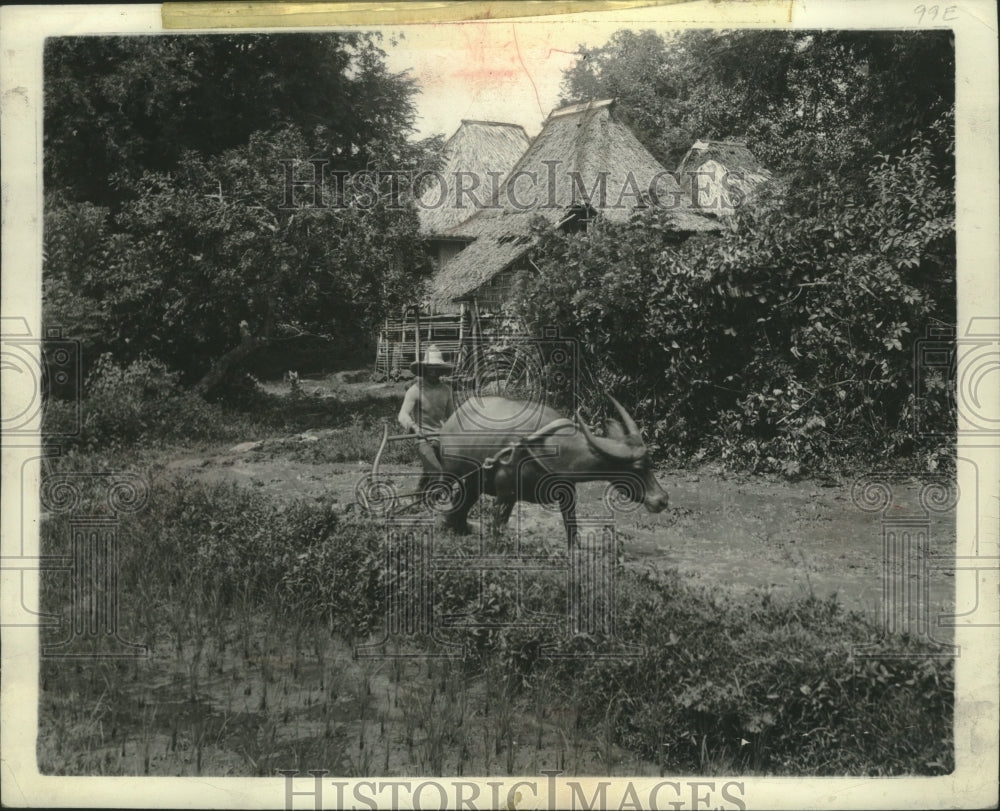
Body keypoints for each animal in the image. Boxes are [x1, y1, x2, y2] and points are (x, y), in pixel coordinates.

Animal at [432, 394, 672, 544]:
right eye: (638, 467)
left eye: (650, 461)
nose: (662, 500)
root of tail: (452, 419)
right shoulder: (506, 494)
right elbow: (498, 529)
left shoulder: (567, 492)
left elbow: (572, 527)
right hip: (453, 474)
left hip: (473, 480)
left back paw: (457, 529)